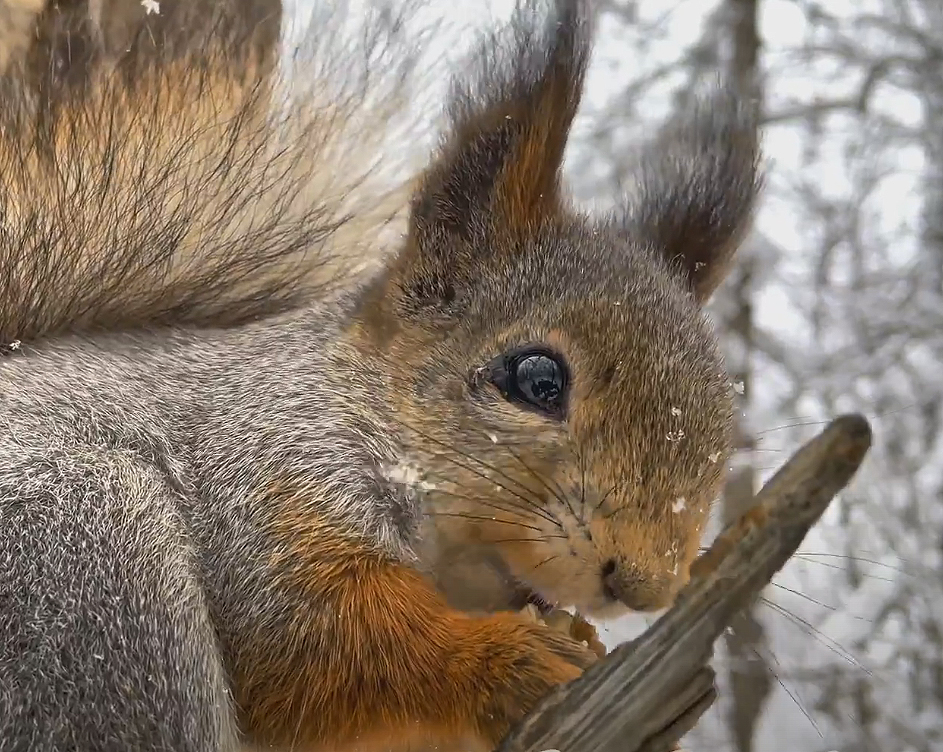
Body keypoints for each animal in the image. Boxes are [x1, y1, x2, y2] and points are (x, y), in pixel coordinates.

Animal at [0, 0, 760, 748]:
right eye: (537, 380)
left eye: (727, 421)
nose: (643, 585)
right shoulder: (261, 484)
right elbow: (322, 639)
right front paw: (509, 656)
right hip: (94, 560)